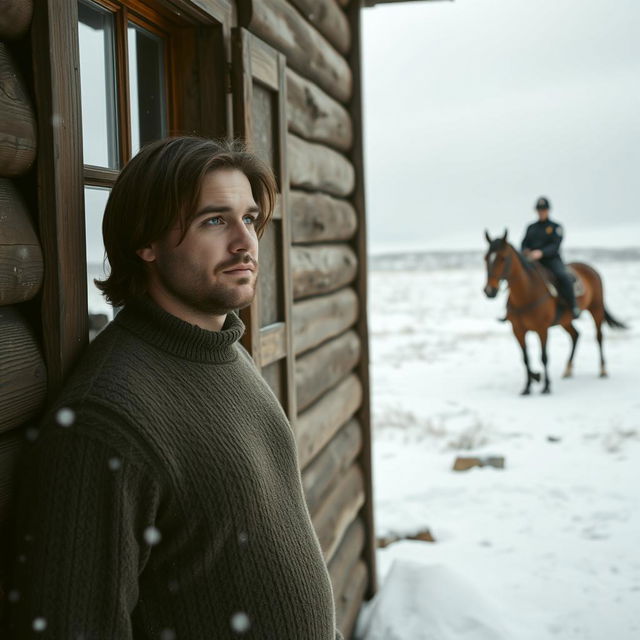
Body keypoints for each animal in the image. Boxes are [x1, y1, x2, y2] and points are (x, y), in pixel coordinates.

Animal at [482, 230, 624, 396]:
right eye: (486, 258)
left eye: (503, 258)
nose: (489, 291)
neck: (526, 294)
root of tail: (589, 268)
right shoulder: (517, 330)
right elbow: (525, 358)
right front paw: (528, 385)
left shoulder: (542, 329)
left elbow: (543, 357)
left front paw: (546, 386)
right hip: (565, 321)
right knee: (575, 335)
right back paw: (568, 370)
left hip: (596, 309)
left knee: (599, 337)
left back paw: (602, 370)